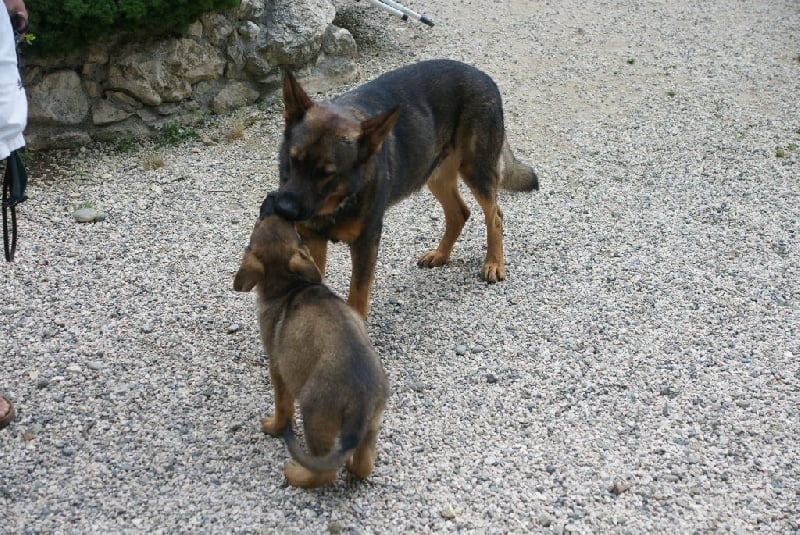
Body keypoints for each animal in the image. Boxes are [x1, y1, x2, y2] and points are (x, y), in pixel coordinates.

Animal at [233, 202, 389, 488]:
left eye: (257, 224)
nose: (275, 209)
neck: (290, 284)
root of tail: (361, 402)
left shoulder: (278, 370)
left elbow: (282, 407)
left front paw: (273, 427)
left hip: (315, 417)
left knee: (324, 471)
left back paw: (296, 474)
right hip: (372, 424)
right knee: (364, 464)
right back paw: (352, 466)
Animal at [269, 58, 539, 319]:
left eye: (328, 173)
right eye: (293, 159)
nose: (283, 210)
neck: (338, 200)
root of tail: (483, 76)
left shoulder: (366, 244)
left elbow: (358, 296)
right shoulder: (312, 240)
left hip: (475, 170)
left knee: (495, 215)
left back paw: (494, 262)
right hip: (433, 173)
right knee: (460, 213)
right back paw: (440, 255)